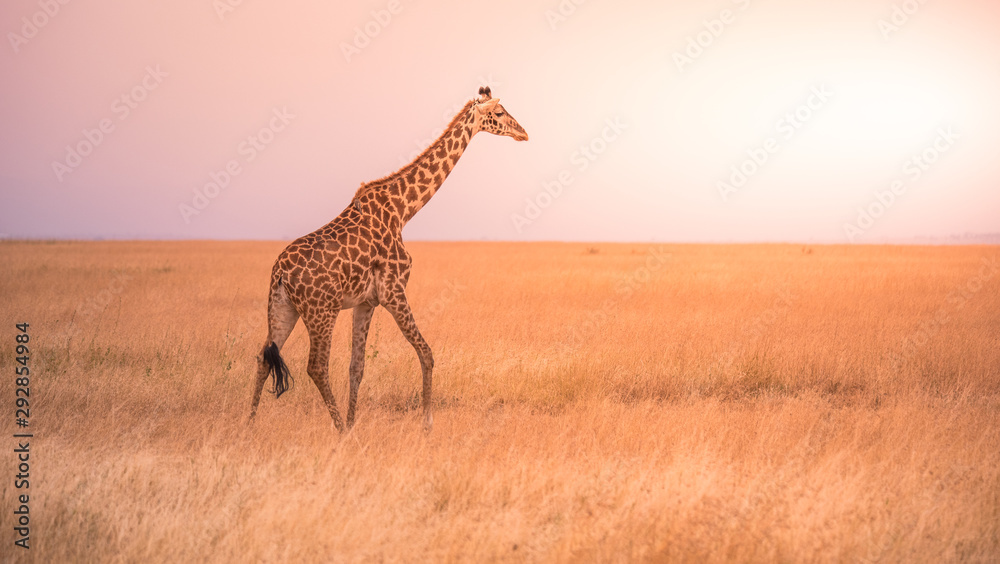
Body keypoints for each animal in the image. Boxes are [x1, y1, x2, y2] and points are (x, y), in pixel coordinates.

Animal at [250, 87, 528, 432]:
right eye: (500, 113)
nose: (524, 133)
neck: (403, 210)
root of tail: (281, 272)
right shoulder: (393, 290)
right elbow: (426, 353)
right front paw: (426, 425)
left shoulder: (366, 301)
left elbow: (357, 367)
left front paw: (355, 424)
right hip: (321, 311)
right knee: (316, 366)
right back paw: (338, 430)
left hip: (282, 308)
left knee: (263, 358)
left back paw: (248, 426)